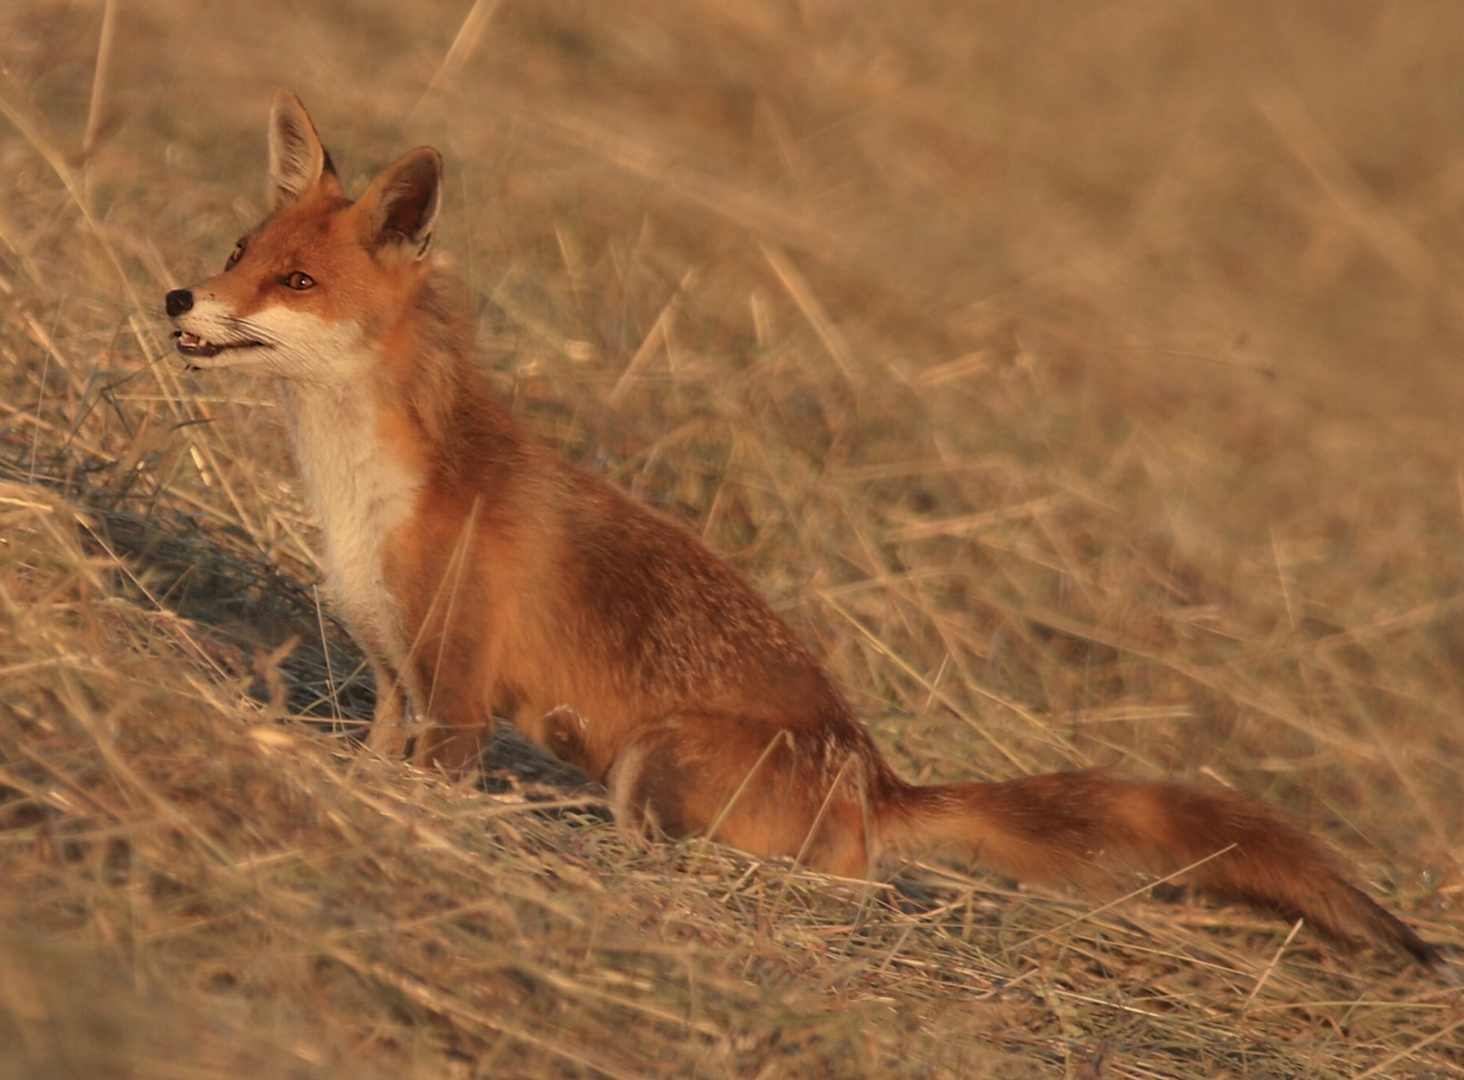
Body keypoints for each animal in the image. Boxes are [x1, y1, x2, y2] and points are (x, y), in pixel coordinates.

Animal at [163, 92, 1440, 965]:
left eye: (296, 282)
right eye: (235, 253)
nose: (181, 298)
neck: (362, 488)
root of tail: (879, 777)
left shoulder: (463, 688)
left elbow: (442, 773)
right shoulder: (392, 675)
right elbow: (370, 754)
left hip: (656, 763)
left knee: (836, 881)